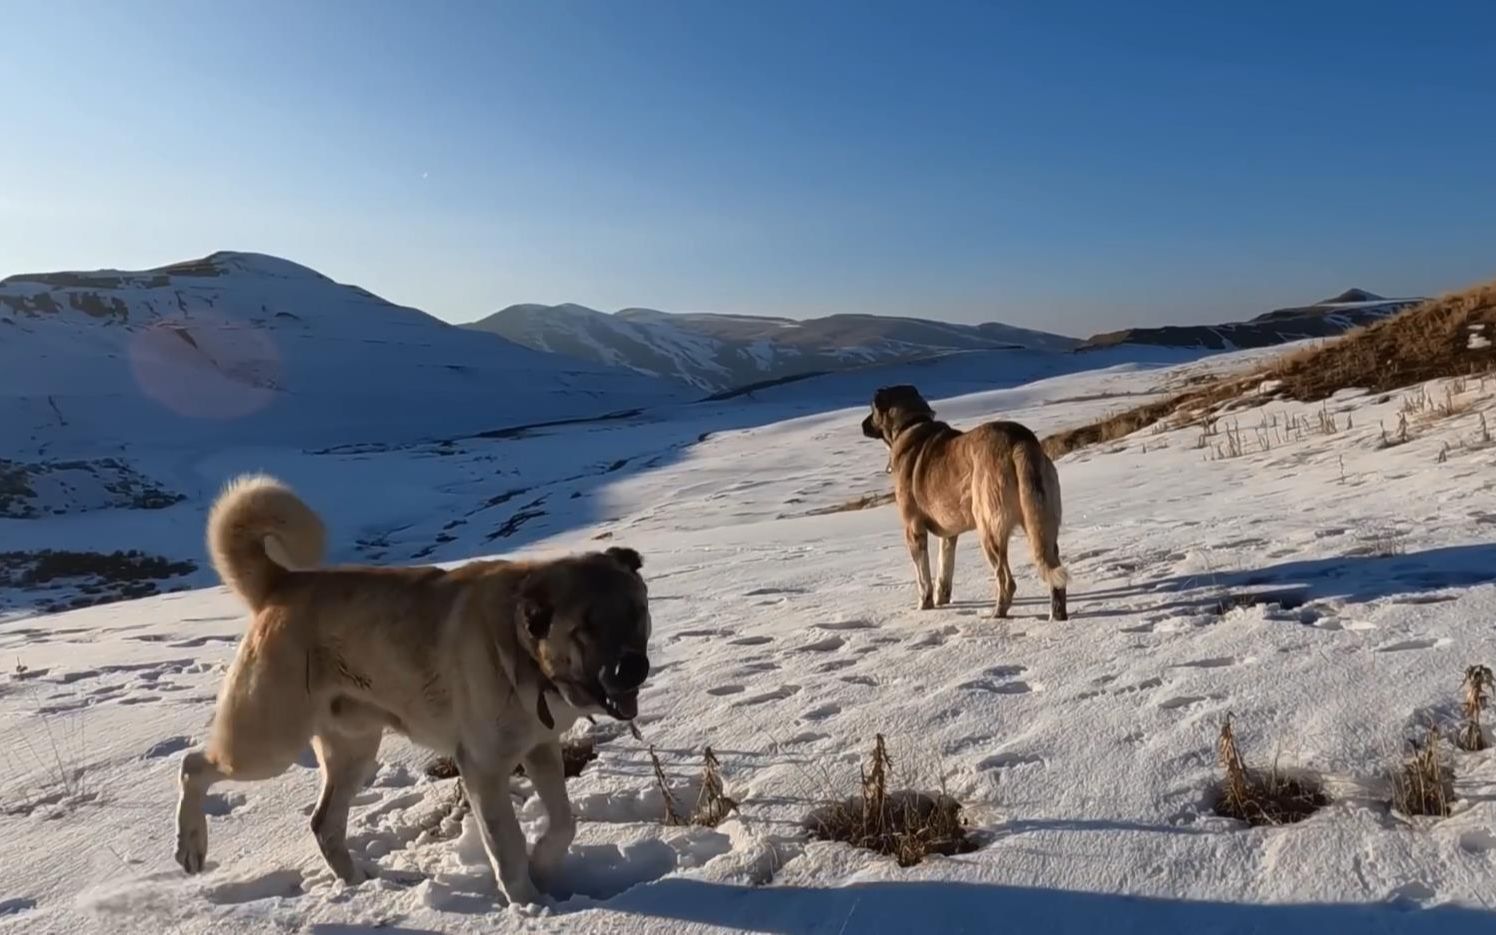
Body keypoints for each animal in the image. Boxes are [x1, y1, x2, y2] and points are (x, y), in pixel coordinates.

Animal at [172, 472, 652, 903]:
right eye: (585, 628)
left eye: (635, 613)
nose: (631, 669)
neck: (522, 648)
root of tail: (282, 583)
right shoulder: (483, 768)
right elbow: (507, 847)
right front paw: (529, 904)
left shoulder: (541, 748)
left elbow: (564, 823)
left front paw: (545, 868)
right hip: (269, 742)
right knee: (194, 764)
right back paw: (191, 844)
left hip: (354, 750)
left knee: (324, 824)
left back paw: (359, 883)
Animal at [861, 385, 1071, 619]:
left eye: (872, 408)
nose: (862, 425)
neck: (911, 424)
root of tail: (1019, 441)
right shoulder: (948, 534)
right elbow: (944, 568)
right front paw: (942, 601)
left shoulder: (913, 528)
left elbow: (923, 576)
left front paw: (924, 606)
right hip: (1043, 519)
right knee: (1055, 574)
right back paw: (1057, 617)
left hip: (988, 526)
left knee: (1006, 580)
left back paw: (997, 614)